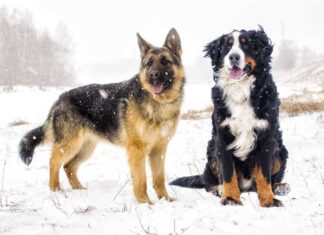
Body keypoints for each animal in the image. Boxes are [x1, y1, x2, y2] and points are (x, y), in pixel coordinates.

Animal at [19, 28, 185, 204]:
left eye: (166, 62)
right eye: (149, 64)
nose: (153, 75)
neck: (159, 103)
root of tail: (59, 99)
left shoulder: (159, 149)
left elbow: (159, 178)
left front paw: (165, 199)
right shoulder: (137, 150)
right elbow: (141, 180)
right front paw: (145, 203)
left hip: (86, 147)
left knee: (68, 166)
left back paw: (79, 189)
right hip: (70, 145)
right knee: (54, 162)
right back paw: (55, 189)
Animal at [171, 26, 290, 207]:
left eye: (246, 44)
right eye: (227, 46)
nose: (234, 56)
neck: (241, 90)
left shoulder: (267, 138)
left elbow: (264, 175)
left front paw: (268, 200)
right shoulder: (223, 137)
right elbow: (228, 173)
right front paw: (230, 198)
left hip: (281, 150)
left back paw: (280, 187)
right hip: (211, 150)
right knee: (209, 182)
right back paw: (219, 189)